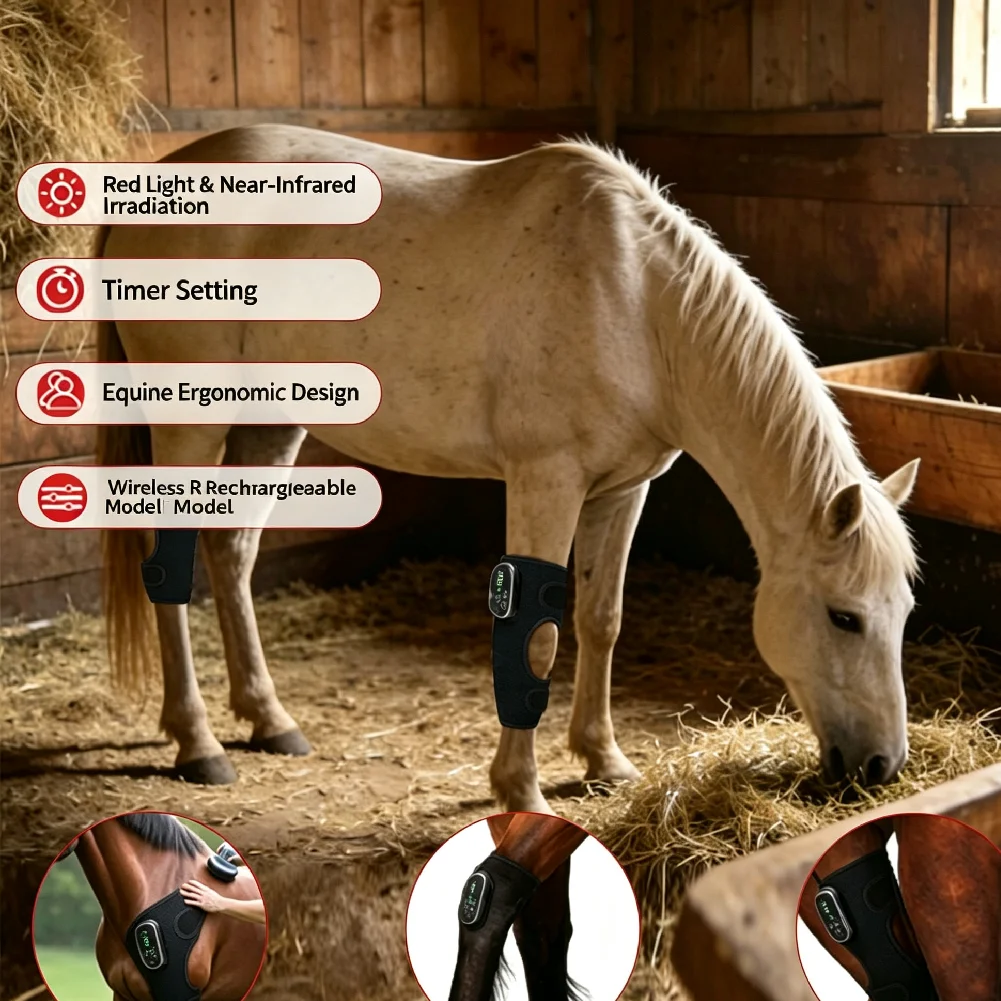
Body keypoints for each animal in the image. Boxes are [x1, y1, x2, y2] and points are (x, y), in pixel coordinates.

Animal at [96, 125, 921, 814]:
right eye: (843, 616)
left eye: (904, 612)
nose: (881, 765)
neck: (636, 302)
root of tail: (155, 182)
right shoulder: (544, 482)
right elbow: (536, 637)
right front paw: (520, 789)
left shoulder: (623, 489)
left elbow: (601, 619)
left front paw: (602, 760)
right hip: (191, 422)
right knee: (168, 567)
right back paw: (198, 743)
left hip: (271, 421)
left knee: (231, 552)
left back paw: (269, 718)